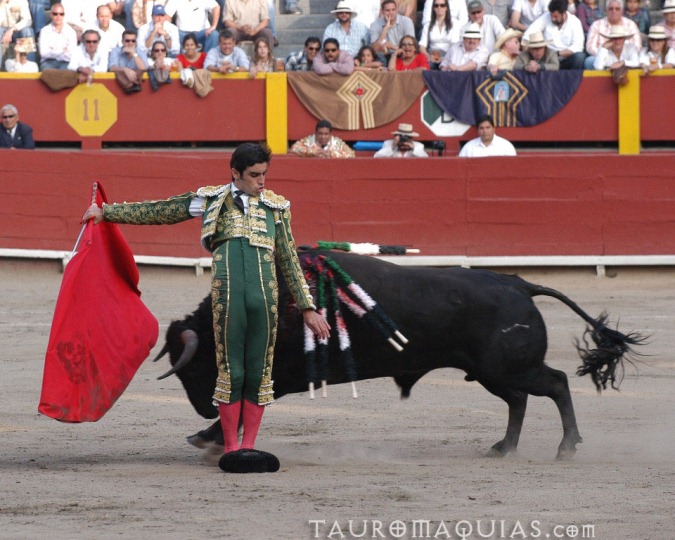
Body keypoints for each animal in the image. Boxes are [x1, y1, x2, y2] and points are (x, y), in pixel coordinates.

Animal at [154, 250, 644, 460]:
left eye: (192, 368)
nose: (202, 407)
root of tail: (519, 284)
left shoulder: (272, 375)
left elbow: (244, 406)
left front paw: (208, 436)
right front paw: (208, 435)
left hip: (510, 368)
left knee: (556, 384)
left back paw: (565, 447)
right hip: (490, 372)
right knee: (520, 400)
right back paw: (503, 447)